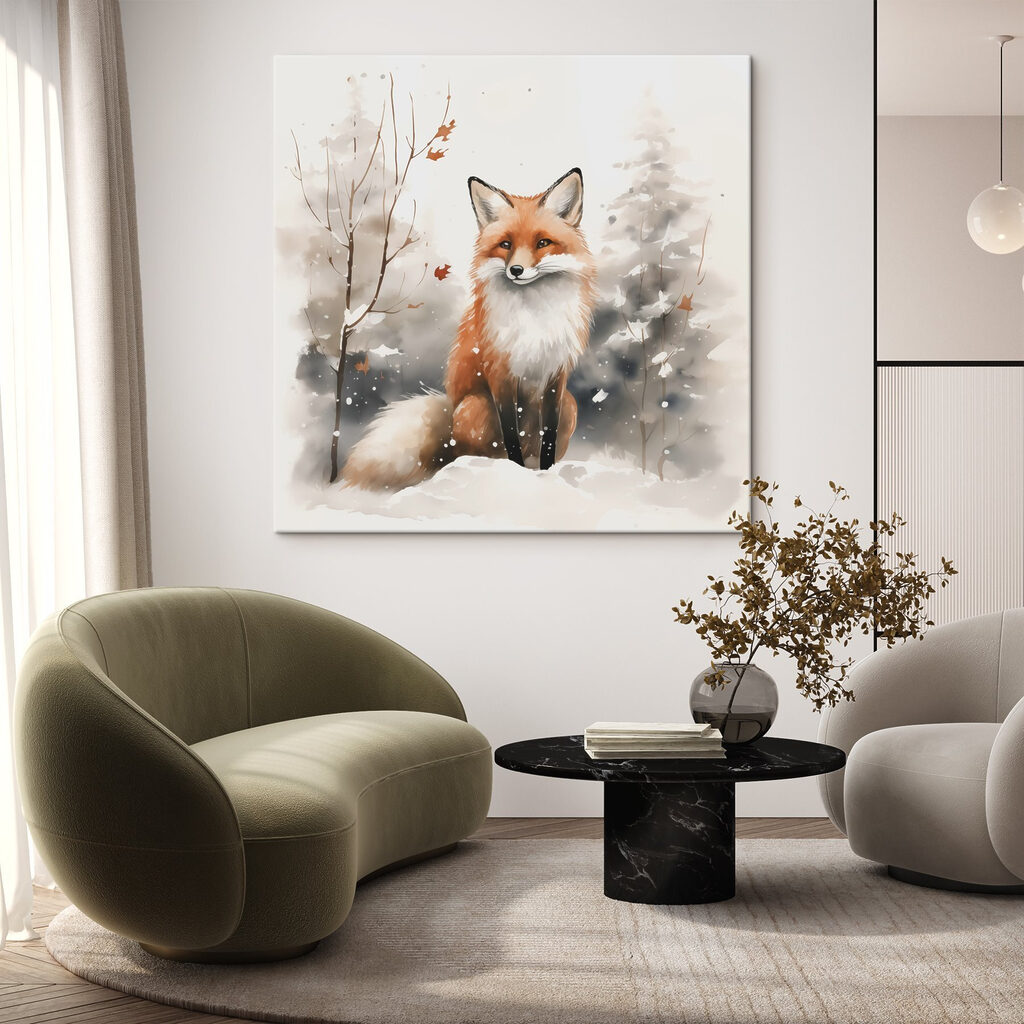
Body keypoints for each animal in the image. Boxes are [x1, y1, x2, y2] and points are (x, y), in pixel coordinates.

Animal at [342, 167, 598, 490]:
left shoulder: (556, 375)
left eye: (543, 243)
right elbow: (511, 434)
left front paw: (547, 473)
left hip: (570, 404)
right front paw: (514, 474)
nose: (516, 270)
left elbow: (548, 438)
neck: (533, 315)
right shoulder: (500, 372)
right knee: (472, 454)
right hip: (475, 405)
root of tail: (449, 416)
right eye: (505, 244)